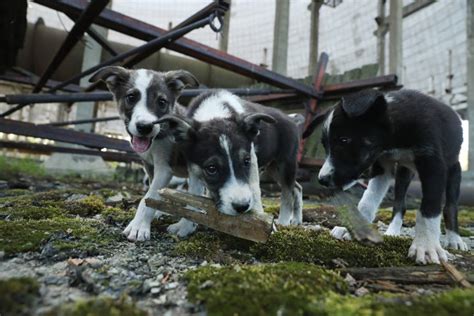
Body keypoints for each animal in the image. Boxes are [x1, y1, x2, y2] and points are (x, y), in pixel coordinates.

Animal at [89, 66, 200, 239]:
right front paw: (154, 214)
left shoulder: (164, 169)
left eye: (162, 102)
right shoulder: (150, 167)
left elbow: (147, 198)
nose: (145, 127)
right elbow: (153, 196)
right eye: (131, 97)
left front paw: (138, 227)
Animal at [157, 90, 302, 226]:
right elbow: (194, 193)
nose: (242, 207)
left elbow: (255, 191)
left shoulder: (253, 161)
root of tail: (291, 119)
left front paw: (260, 220)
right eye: (211, 168)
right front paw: (185, 226)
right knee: (297, 188)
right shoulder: (193, 166)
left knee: (287, 193)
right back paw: (296, 220)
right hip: (273, 167)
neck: (214, 112)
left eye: (246, 161)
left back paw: (283, 222)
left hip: (286, 163)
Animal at [304, 88, 466, 264]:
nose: (322, 180)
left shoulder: (434, 165)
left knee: (450, 206)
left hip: (454, 170)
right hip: (403, 172)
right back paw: (393, 231)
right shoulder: (382, 166)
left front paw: (426, 246)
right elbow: (368, 200)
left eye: (344, 140)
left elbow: (429, 208)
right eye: (325, 145)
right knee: (399, 204)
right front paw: (358, 228)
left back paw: (454, 239)